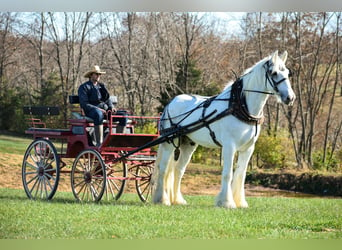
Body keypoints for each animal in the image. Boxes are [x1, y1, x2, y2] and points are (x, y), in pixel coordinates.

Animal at [154, 50, 296, 209]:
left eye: (288, 73)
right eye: (274, 73)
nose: (290, 98)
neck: (240, 106)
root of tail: (171, 102)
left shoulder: (248, 148)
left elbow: (241, 174)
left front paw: (240, 202)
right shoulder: (229, 146)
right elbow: (228, 174)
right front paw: (227, 202)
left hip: (188, 144)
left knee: (178, 170)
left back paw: (178, 200)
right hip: (169, 143)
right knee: (163, 168)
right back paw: (162, 199)